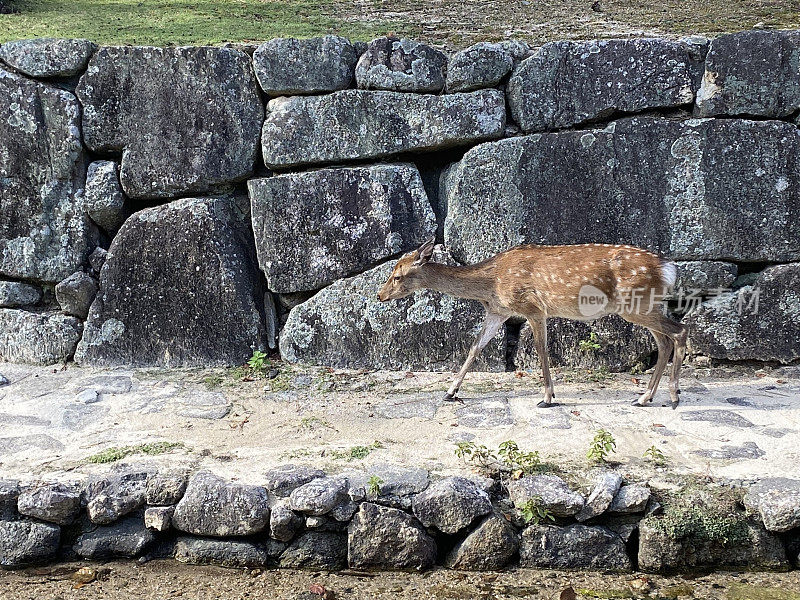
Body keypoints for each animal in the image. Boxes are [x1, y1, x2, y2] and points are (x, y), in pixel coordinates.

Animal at [376, 239, 688, 408]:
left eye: (397, 276)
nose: (379, 295)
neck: (490, 284)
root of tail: (669, 268)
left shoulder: (533, 308)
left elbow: (540, 350)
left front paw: (548, 397)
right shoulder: (498, 311)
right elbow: (475, 347)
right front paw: (450, 392)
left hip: (636, 304)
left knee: (679, 331)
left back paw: (673, 395)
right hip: (644, 305)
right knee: (664, 341)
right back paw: (644, 397)